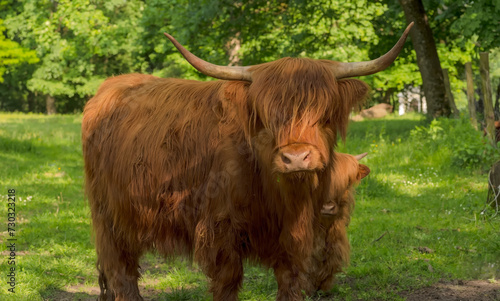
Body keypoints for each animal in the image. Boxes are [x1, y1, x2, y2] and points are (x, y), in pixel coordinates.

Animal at [81, 24, 410, 300]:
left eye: (325, 114)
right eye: (266, 117)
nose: (296, 158)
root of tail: (111, 87)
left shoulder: (297, 238)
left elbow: (291, 281)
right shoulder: (220, 230)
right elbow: (227, 283)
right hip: (109, 214)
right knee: (121, 270)